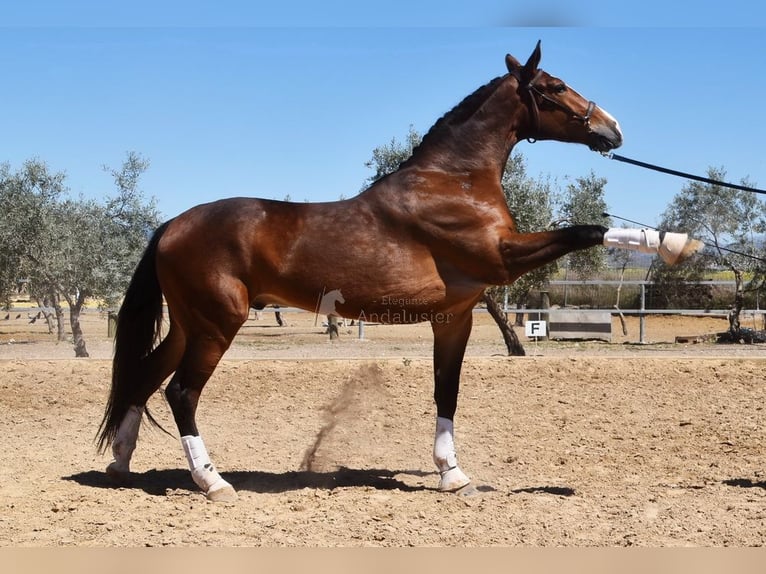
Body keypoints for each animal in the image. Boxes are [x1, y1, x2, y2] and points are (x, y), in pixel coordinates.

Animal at [94, 40, 688, 502]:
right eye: (556, 85)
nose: (613, 129)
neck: (453, 180)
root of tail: (171, 224)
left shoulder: (454, 316)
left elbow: (446, 392)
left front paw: (453, 474)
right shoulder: (503, 257)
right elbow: (584, 230)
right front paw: (673, 243)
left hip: (188, 324)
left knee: (143, 377)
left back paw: (120, 465)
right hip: (218, 324)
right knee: (180, 393)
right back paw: (212, 482)